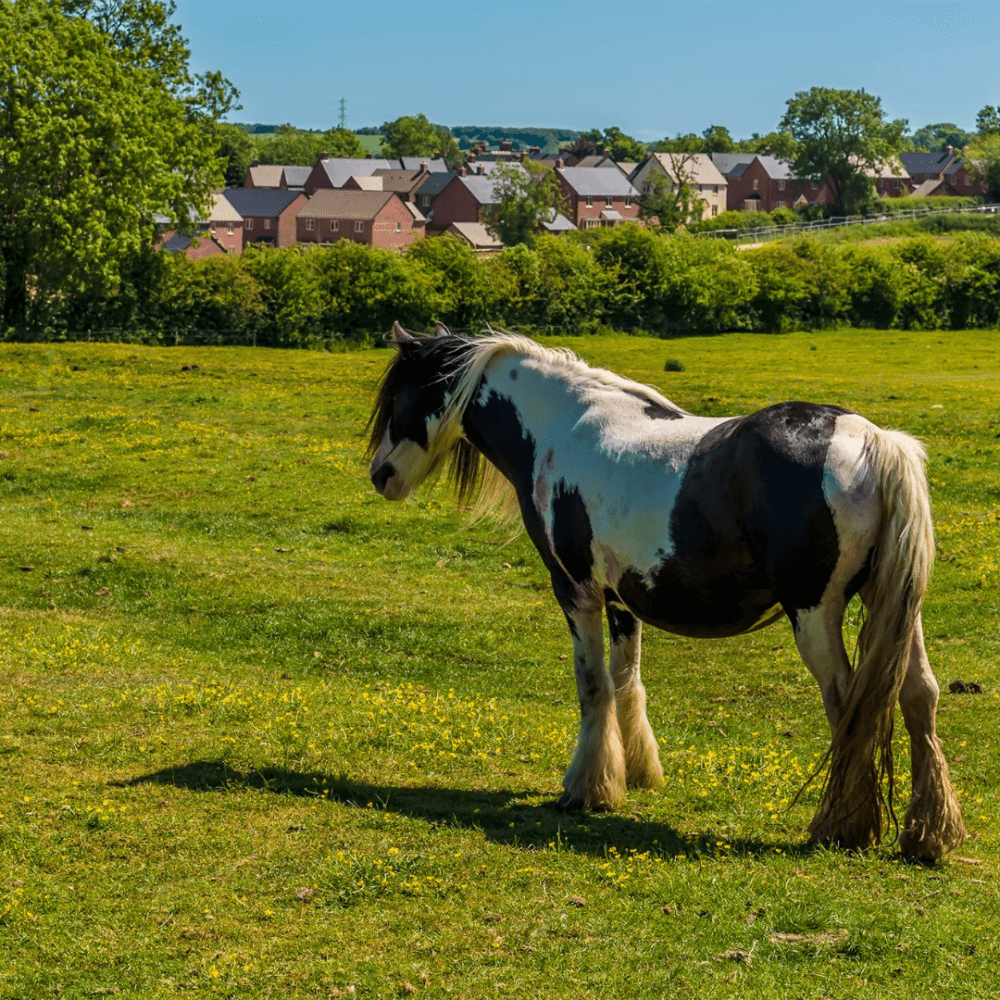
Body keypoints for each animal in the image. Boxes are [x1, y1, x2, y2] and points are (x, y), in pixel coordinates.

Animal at [366, 322, 966, 861]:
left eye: (400, 395)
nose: (380, 476)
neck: (560, 424)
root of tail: (872, 441)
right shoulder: (623, 599)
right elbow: (626, 680)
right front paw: (634, 772)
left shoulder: (577, 591)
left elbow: (593, 687)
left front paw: (587, 789)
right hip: (895, 607)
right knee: (920, 696)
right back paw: (928, 836)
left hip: (816, 613)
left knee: (848, 703)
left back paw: (841, 828)